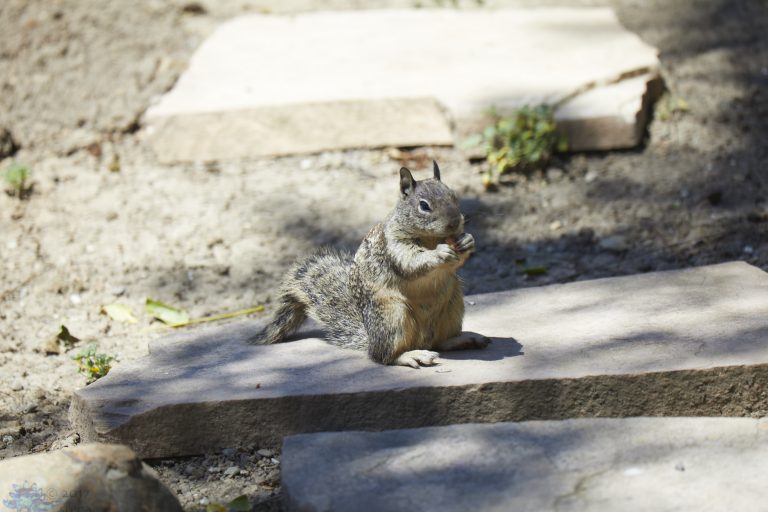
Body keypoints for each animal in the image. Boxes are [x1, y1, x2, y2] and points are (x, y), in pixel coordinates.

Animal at [248, 161, 489, 368]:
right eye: (424, 206)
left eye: (454, 196)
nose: (454, 223)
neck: (431, 238)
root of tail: (370, 338)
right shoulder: (392, 244)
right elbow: (410, 260)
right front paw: (438, 254)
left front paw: (467, 241)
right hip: (392, 315)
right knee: (383, 356)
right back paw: (410, 355)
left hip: (453, 304)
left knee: (439, 342)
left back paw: (462, 339)